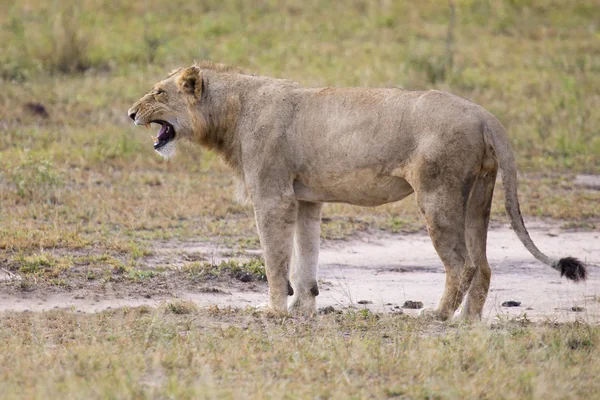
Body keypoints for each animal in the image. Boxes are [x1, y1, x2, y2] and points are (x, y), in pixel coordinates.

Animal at [127, 61, 584, 320]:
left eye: (159, 92)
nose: (130, 113)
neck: (230, 111)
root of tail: (485, 114)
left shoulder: (273, 196)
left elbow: (275, 260)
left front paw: (273, 310)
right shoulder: (306, 199)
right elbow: (305, 259)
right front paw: (303, 309)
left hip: (438, 195)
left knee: (463, 264)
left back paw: (436, 316)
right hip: (479, 196)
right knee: (485, 265)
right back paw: (469, 321)